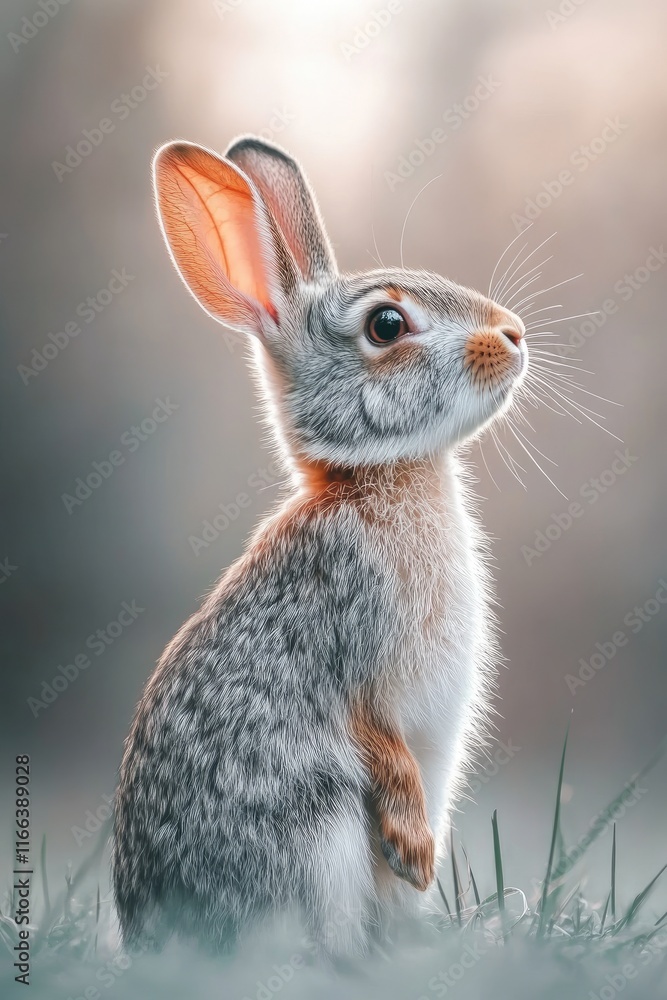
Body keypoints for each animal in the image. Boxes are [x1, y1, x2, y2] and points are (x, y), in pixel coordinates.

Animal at [112, 135, 528, 959]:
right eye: (387, 325)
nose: (513, 333)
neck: (374, 478)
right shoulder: (355, 651)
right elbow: (378, 746)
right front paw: (415, 853)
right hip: (317, 831)